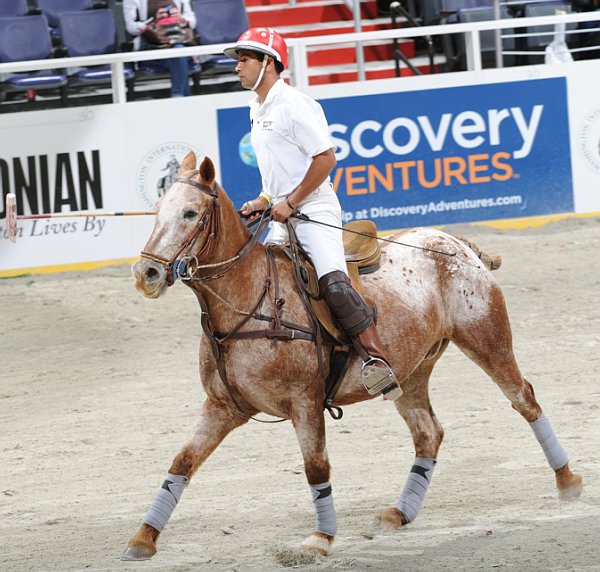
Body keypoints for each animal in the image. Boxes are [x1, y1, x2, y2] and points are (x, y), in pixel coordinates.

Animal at [125, 152, 580, 560]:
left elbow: (316, 468)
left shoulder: (305, 402)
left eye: (190, 213)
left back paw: (568, 482)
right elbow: (182, 462)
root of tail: (456, 242)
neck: (247, 302)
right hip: (411, 369)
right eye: (157, 212)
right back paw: (398, 513)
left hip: (486, 338)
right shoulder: (223, 406)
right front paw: (143, 539)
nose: (146, 274)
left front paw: (320, 538)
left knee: (524, 399)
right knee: (428, 432)